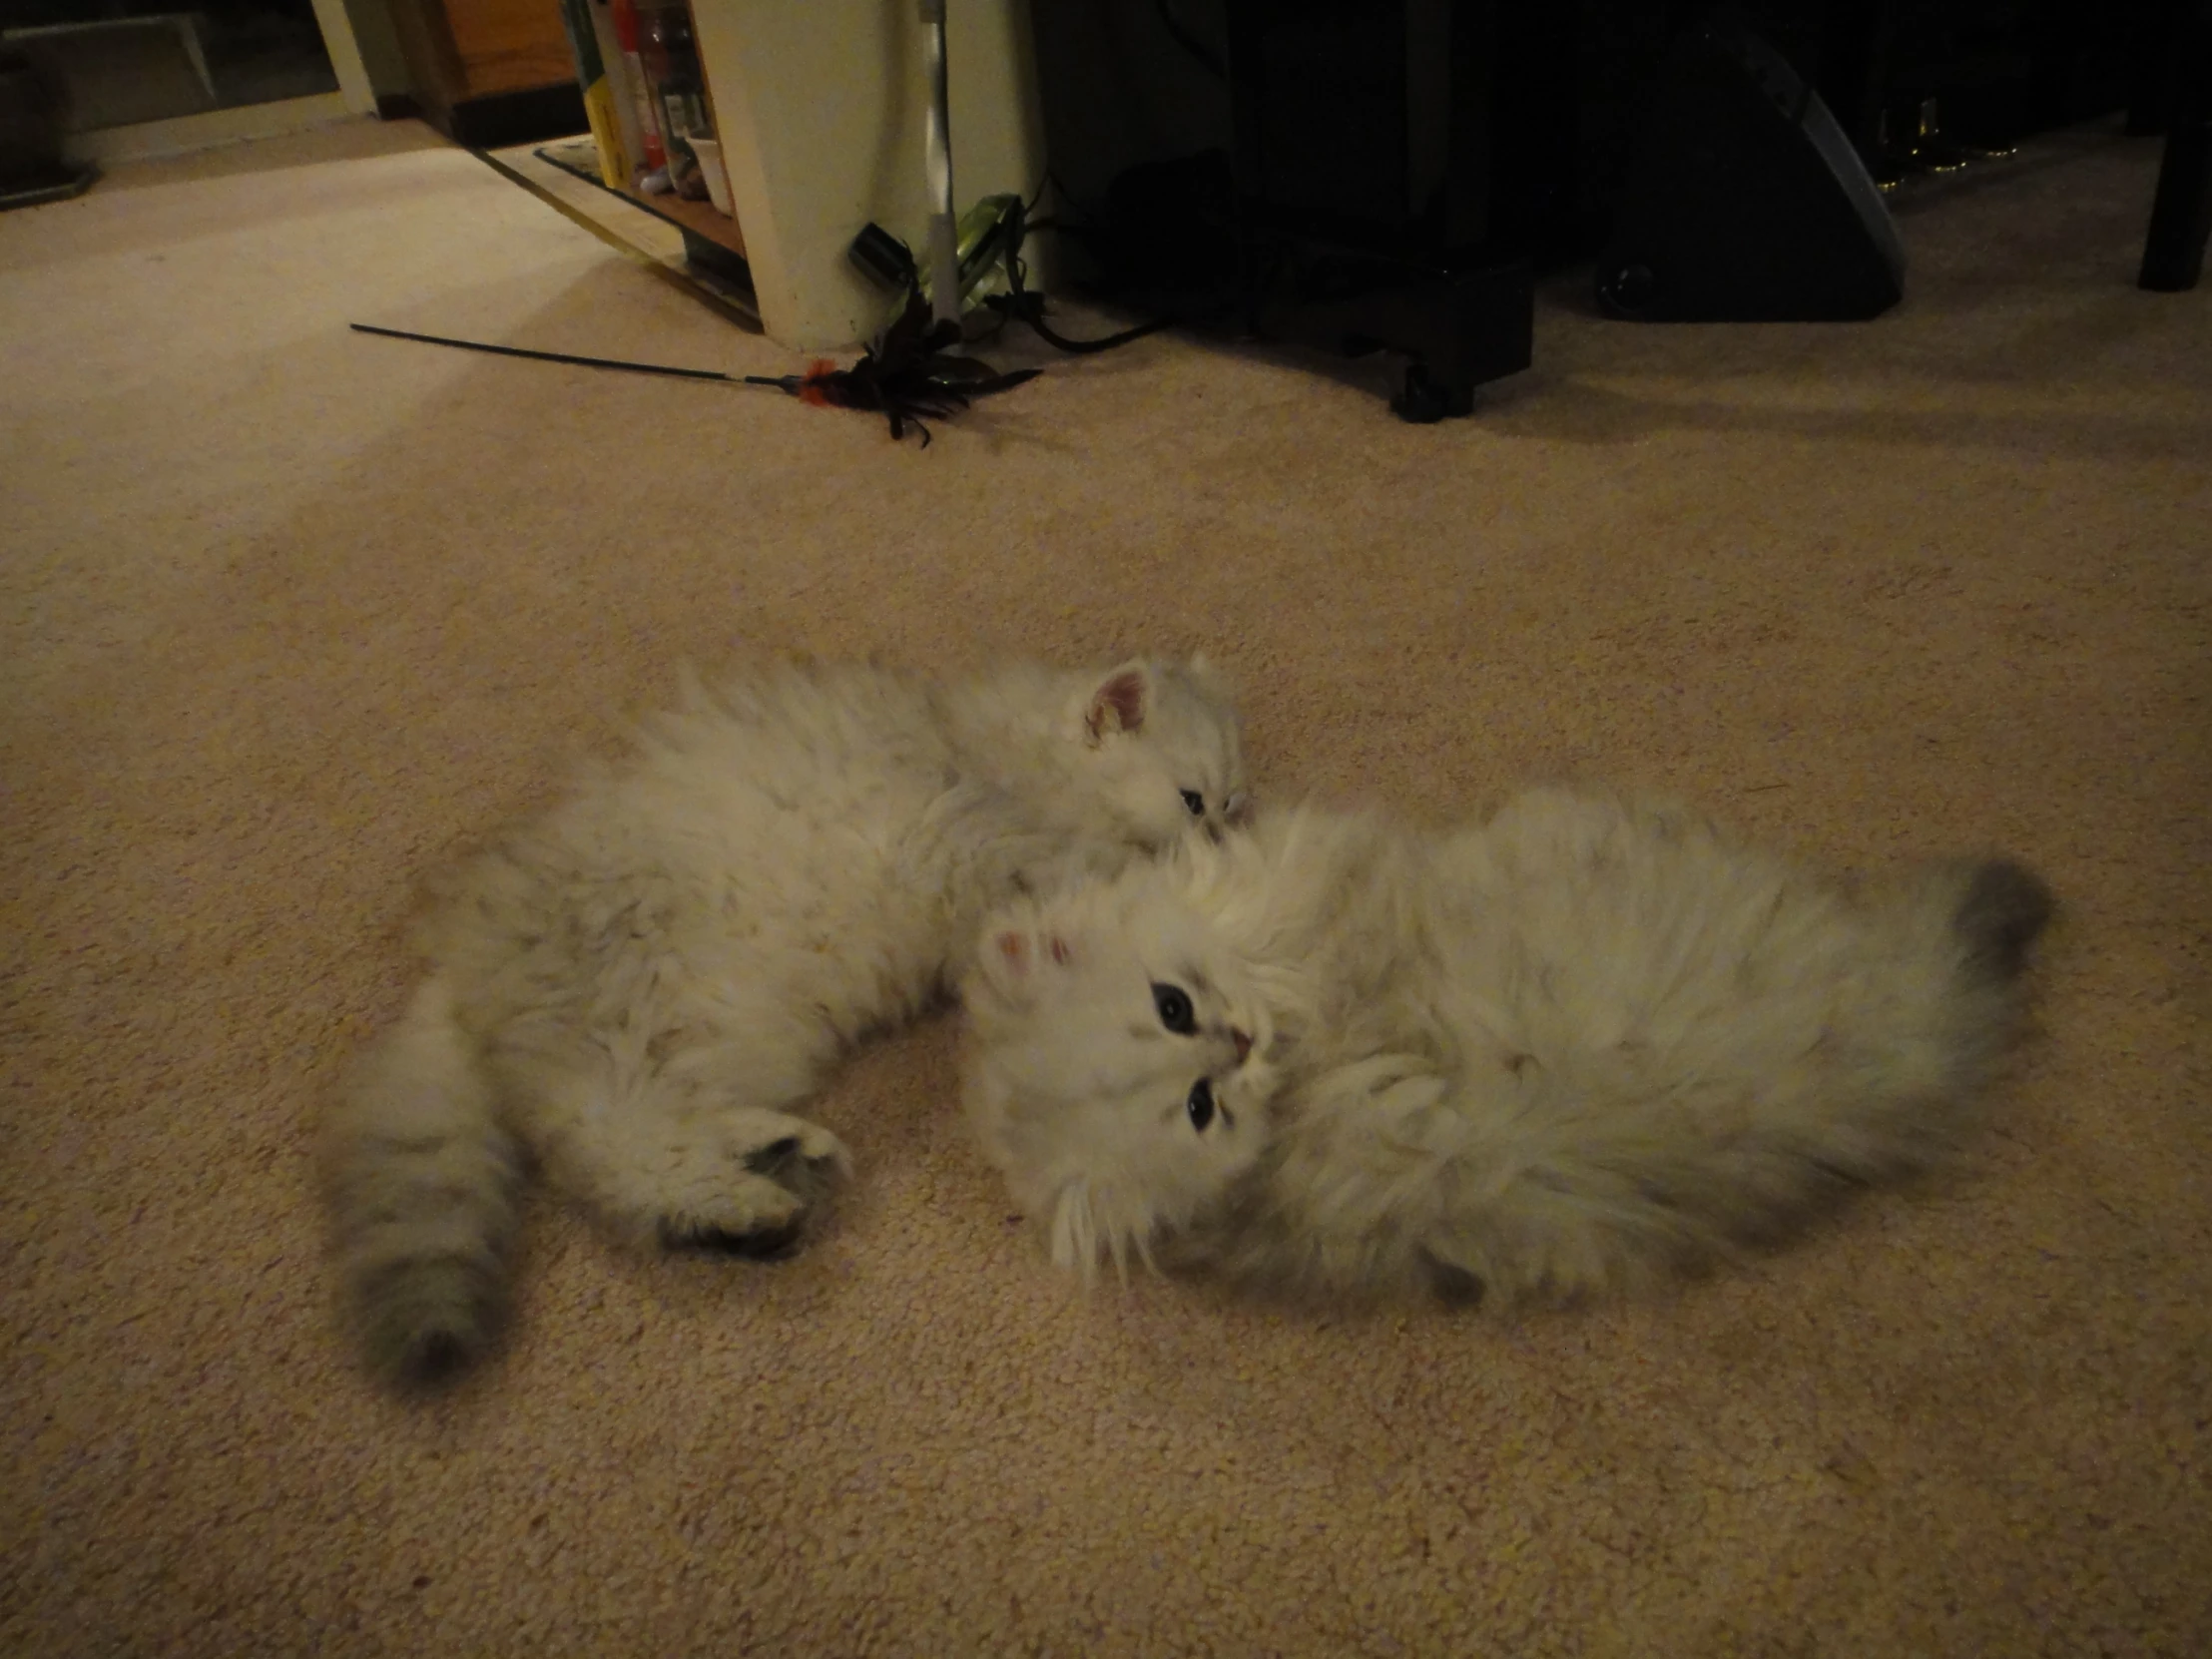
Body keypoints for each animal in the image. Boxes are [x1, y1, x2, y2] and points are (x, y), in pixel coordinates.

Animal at [329, 654, 1256, 1380]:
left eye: (1229, 805)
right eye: (1194, 801)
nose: (1224, 838)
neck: (998, 757)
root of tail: (455, 964)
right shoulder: (977, 841)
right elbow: (1084, 878)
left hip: (737, 1036)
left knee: (654, 1131)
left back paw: (766, 1156)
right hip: (629, 1011)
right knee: (608, 1145)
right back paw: (741, 1200)